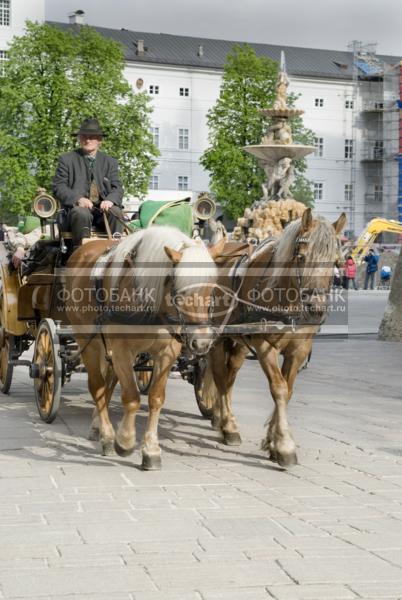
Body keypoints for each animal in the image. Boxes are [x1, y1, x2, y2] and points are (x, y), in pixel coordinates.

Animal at [64, 225, 225, 468]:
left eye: (211, 289)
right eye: (180, 291)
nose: (202, 341)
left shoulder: (167, 354)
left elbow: (156, 398)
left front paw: (150, 449)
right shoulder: (122, 350)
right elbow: (131, 398)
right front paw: (125, 441)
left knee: (108, 384)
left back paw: (97, 425)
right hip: (87, 340)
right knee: (98, 387)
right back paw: (107, 436)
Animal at [206, 209, 348, 466]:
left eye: (335, 262)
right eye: (301, 256)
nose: (316, 308)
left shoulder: (299, 350)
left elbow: (288, 390)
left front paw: (272, 440)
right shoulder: (264, 346)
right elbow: (279, 388)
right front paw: (284, 446)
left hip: (239, 342)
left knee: (230, 377)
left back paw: (221, 419)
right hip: (218, 338)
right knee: (221, 377)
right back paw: (228, 426)